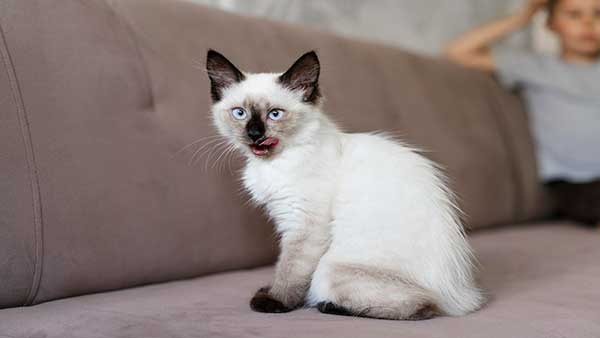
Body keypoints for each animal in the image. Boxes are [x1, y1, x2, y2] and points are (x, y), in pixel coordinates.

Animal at [206, 49, 482, 320]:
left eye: (275, 114)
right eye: (240, 113)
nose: (254, 134)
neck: (274, 162)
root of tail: (462, 298)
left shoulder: (304, 225)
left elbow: (290, 270)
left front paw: (275, 301)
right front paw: (270, 291)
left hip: (329, 270)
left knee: (423, 307)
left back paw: (329, 306)